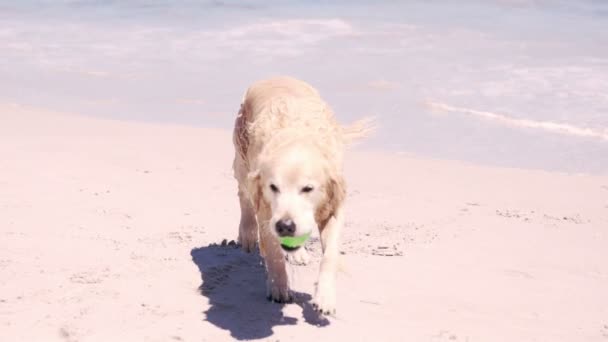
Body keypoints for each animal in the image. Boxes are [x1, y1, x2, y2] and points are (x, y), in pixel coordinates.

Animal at [230, 75, 370, 316]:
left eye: (308, 188)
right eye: (273, 187)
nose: (285, 226)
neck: (296, 139)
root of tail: (273, 75)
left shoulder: (333, 206)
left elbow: (330, 255)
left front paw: (324, 297)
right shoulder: (266, 211)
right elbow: (274, 252)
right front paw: (279, 288)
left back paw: (298, 254)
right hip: (242, 158)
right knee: (244, 196)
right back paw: (247, 234)